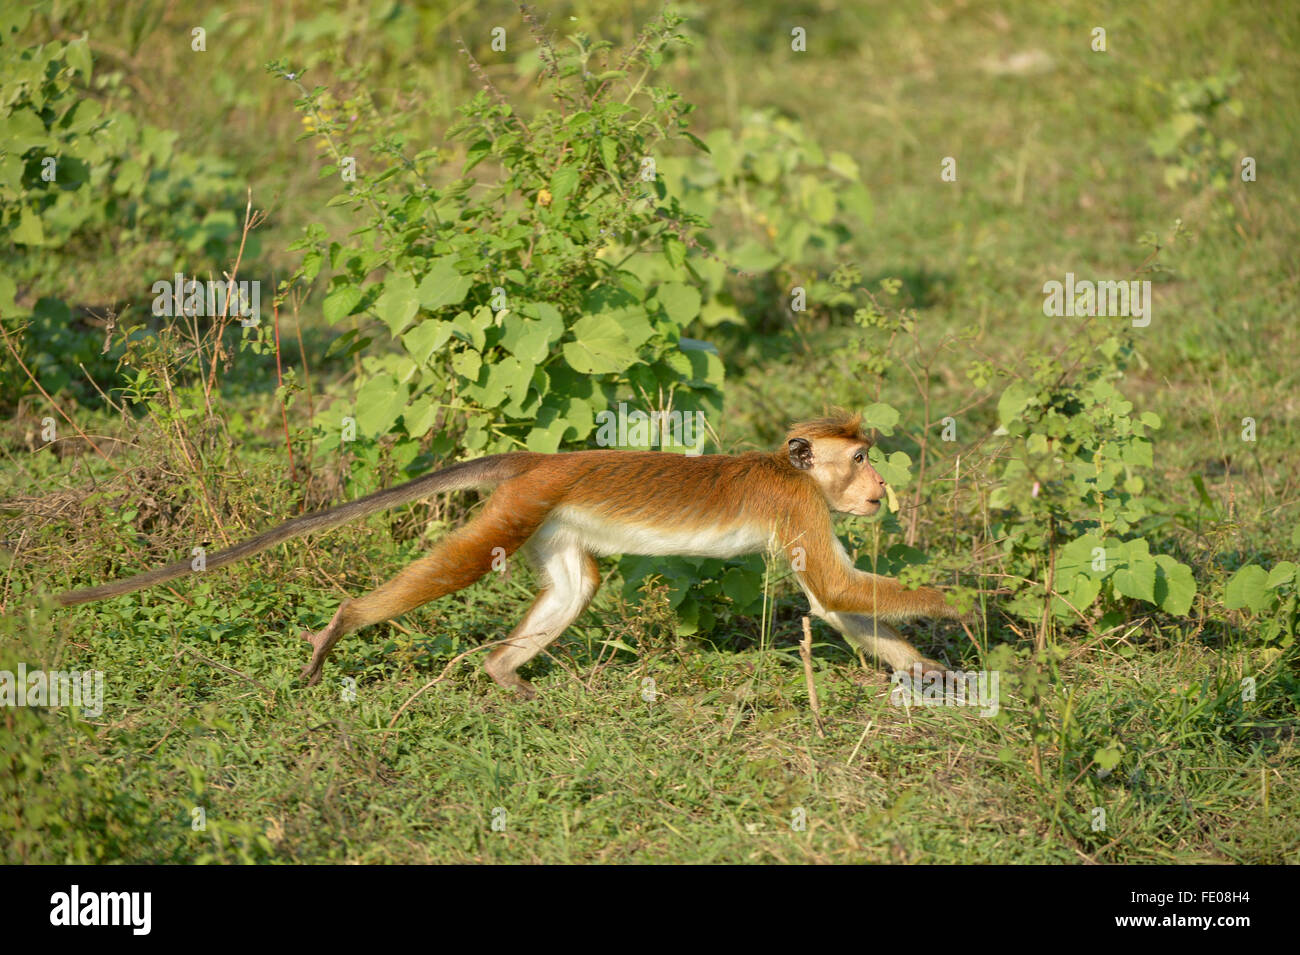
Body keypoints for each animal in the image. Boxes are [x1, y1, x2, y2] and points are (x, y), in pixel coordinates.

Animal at [55, 411, 966, 697]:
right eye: (860, 457)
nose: (880, 485)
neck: (790, 467)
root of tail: (541, 458)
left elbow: (832, 603)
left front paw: (935, 673)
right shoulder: (799, 506)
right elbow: (839, 586)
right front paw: (956, 603)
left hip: (550, 520)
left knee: (577, 585)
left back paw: (501, 673)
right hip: (517, 508)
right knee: (457, 564)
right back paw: (344, 623)